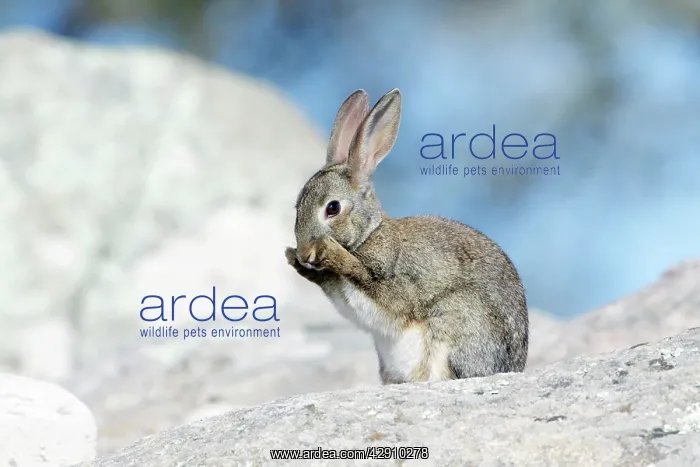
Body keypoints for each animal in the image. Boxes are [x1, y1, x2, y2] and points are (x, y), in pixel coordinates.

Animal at [285, 88, 529, 385]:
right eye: (298, 205)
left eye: (332, 208)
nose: (305, 253)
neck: (369, 235)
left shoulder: (398, 282)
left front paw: (330, 254)